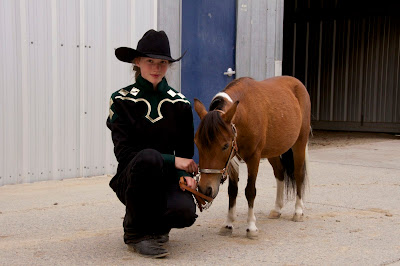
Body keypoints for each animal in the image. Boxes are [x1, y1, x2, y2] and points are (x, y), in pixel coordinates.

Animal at [194, 75, 312, 239]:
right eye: (197, 143)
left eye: (225, 145)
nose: (205, 189)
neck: (245, 112)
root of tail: (297, 83)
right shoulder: (232, 161)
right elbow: (232, 191)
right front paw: (228, 224)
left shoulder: (253, 158)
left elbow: (250, 191)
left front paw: (251, 227)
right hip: (272, 151)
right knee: (280, 173)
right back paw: (277, 209)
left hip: (300, 142)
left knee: (298, 174)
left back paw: (298, 211)